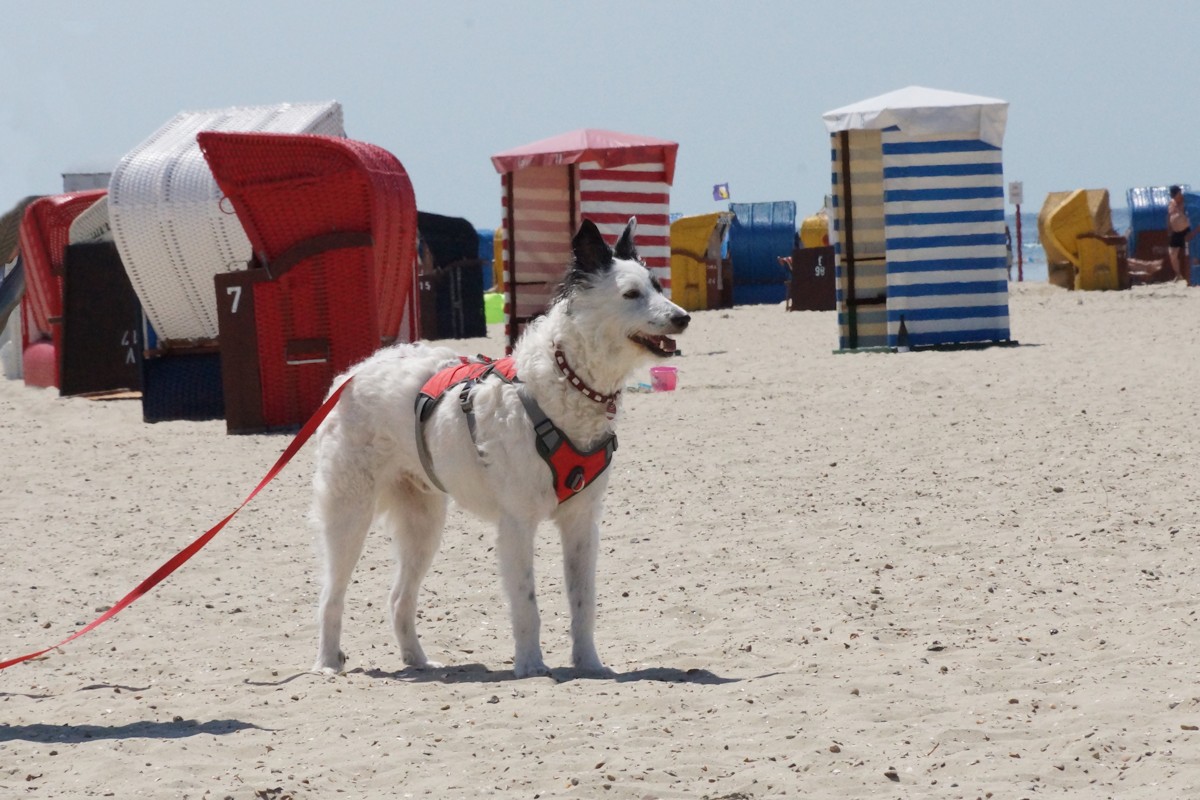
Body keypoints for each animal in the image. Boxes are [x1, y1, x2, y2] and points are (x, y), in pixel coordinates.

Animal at [309, 217, 691, 676]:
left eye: (657, 285)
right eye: (632, 294)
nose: (684, 318)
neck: (566, 381)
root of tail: (350, 375)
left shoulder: (582, 523)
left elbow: (583, 603)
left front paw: (588, 663)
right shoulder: (517, 525)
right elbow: (527, 605)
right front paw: (531, 666)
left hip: (423, 522)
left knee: (399, 598)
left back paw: (418, 660)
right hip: (350, 512)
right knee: (330, 595)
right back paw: (327, 661)